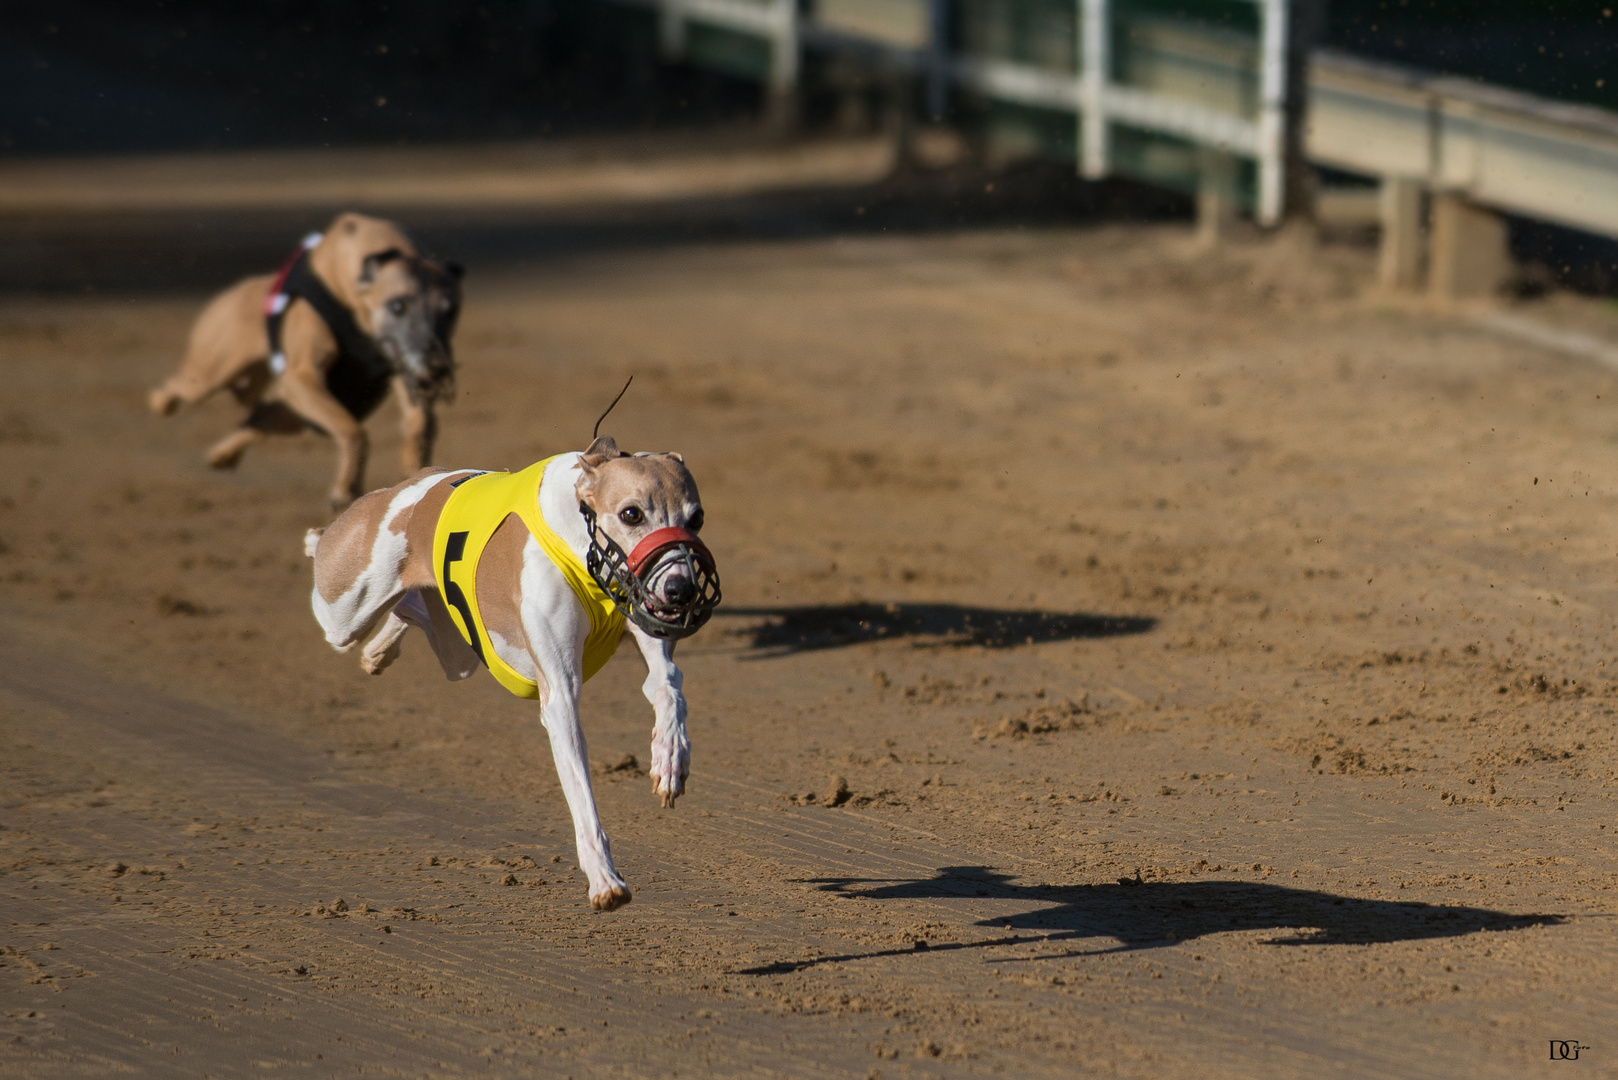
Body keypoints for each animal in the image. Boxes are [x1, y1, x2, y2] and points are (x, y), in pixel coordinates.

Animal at [304, 433, 721, 906]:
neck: (582, 541)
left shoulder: (644, 616)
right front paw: (604, 880)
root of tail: (413, 484)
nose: (681, 590)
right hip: (344, 611)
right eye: (631, 513)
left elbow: (667, 685)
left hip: (459, 649)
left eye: (697, 518)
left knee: (411, 610)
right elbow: (582, 793)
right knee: (340, 597)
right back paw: (315, 540)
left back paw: (379, 651)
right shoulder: (560, 696)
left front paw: (670, 759)